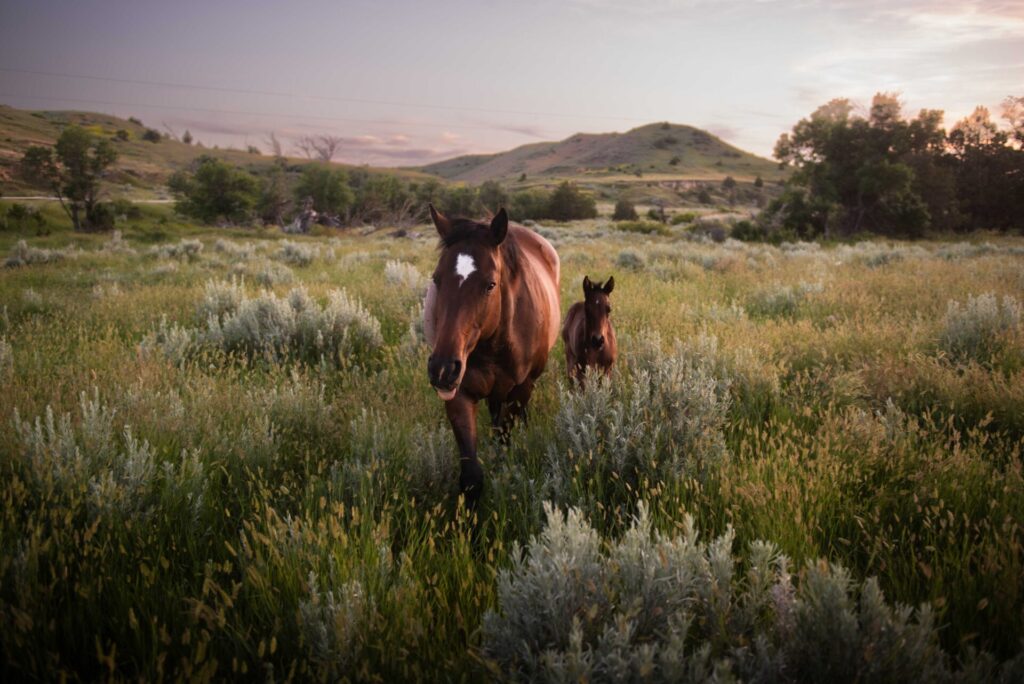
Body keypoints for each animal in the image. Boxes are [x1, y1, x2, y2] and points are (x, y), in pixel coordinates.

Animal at [423, 205, 561, 508]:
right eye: (437, 278)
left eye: (490, 284)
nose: (443, 369)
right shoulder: (459, 394)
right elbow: (471, 477)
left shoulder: (521, 389)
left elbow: (504, 438)